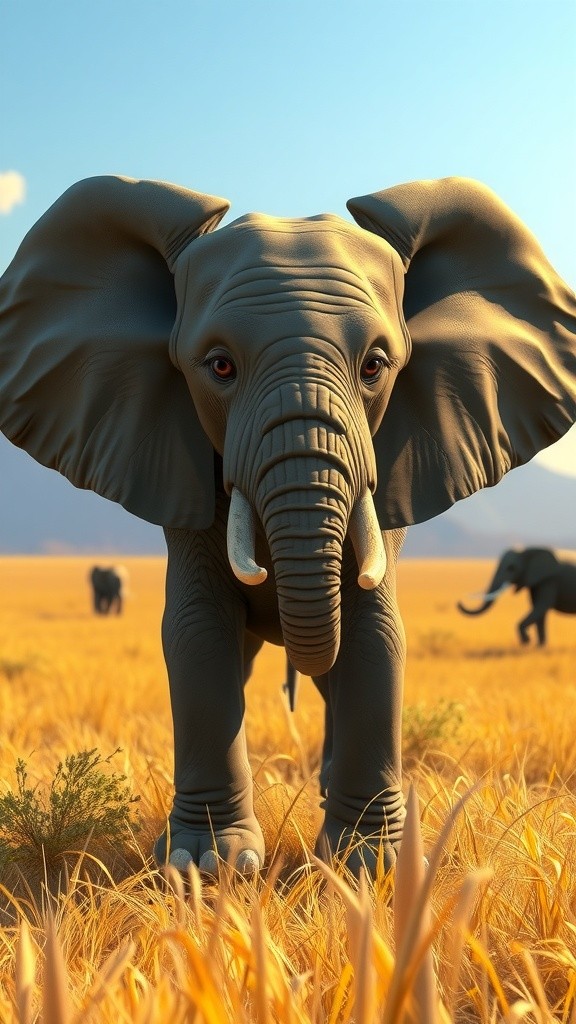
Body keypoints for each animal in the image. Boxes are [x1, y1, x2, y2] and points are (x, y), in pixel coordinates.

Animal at [0, 173, 574, 878]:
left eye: (376, 365)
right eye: (219, 365)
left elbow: (375, 632)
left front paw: (369, 869)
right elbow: (196, 631)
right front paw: (207, 868)